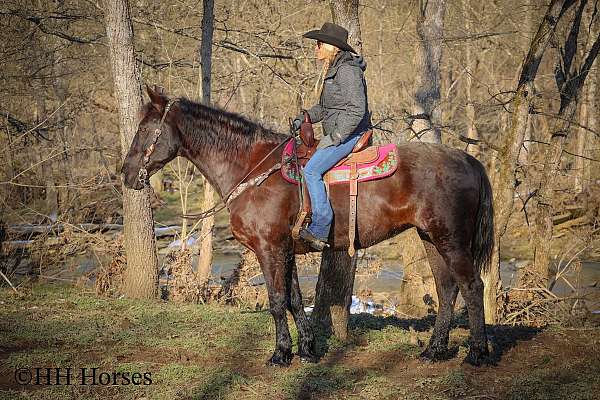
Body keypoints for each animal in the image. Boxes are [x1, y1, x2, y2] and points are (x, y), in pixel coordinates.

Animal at [123, 86, 496, 368]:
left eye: (143, 130)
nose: (126, 175)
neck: (252, 168)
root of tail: (468, 160)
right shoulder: (285, 249)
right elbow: (294, 299)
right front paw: (306, 349)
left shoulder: (269, 247)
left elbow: (276, 300)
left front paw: (280, 354)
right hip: (430, 238)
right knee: (447, 289)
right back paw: (434, 350)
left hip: (451, 240)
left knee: (472, 287)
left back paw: (477, 353)